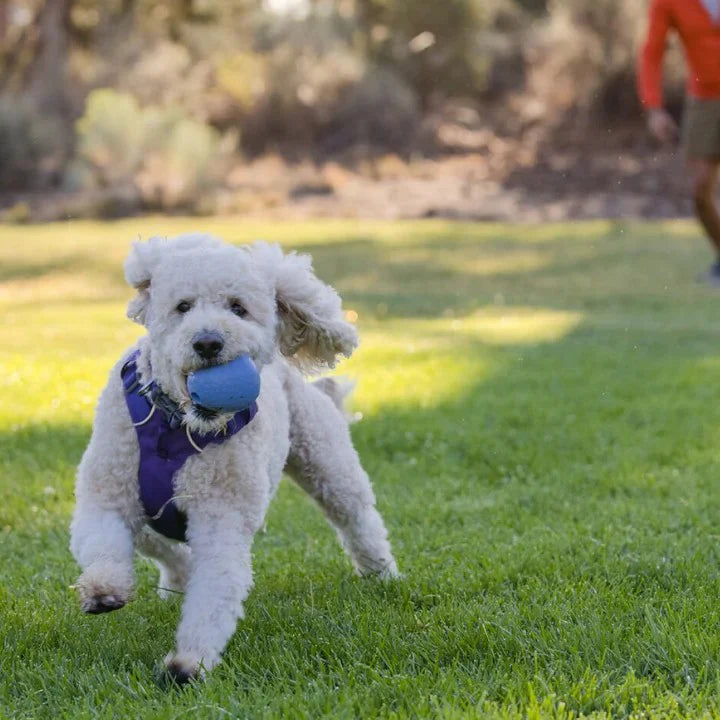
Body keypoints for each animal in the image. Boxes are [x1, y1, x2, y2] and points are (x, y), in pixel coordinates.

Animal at [69, 233, 396, 684]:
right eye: (183, 306)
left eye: (238, 307)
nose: (208, 342)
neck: (178, 428)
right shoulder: (107, 494)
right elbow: (103, 540)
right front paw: (105, 589)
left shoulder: (221, 516)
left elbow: (215, 587)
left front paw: (189, 663)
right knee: (159, 545)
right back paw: (175, 577)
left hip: (327, 463)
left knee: (357, 517)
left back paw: (382, 574)